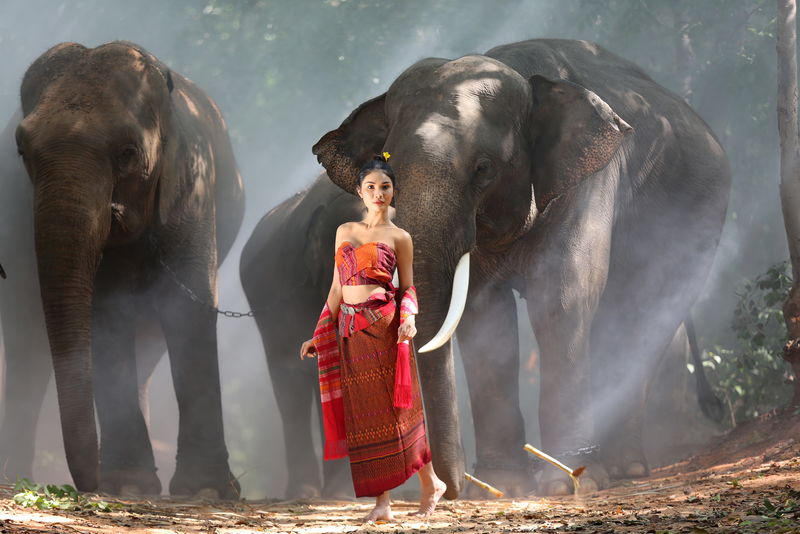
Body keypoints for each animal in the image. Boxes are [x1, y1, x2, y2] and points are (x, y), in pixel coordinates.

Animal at [2, 41, 245, 497]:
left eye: (128, 153)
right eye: (22, 151)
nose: (88, 485)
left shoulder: (192, 185)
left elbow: (189, 304)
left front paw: (205, 491)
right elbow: (104, 313)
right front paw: (128, 485)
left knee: (149, 342)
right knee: (26, 345)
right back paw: (14, 473)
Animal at [311, 39, 731, 498]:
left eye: (483, 169)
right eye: (387, 172)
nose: (449, 490)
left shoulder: (589, 180)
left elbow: (561, 296)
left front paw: (564, 485)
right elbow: (483, 314)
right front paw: (501, 486)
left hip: (697, 220)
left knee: (643, 315)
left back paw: (625, 467)